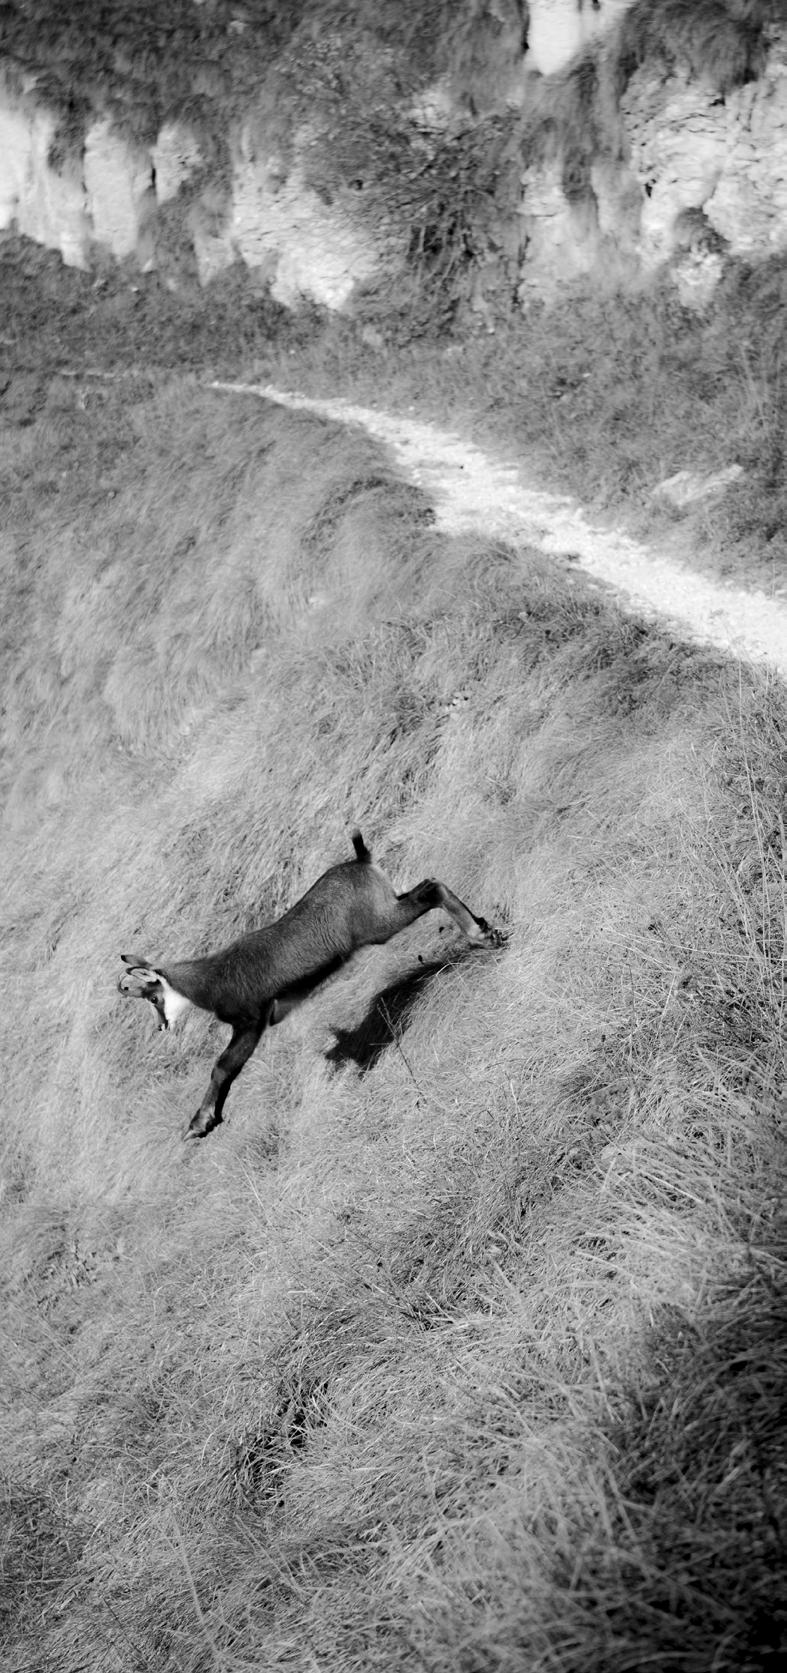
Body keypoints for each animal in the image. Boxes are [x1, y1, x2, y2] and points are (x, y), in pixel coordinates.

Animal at [119, 831, 505, 1139]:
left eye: (151, 997)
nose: (161, 1027)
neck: (209, 979)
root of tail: (361, 861)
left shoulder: (251, 1020)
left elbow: (223, 1065)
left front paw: (200, 1123)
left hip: (379, 925)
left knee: (432, 888)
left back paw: (482, 935)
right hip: (388, 905)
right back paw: (486, 929)